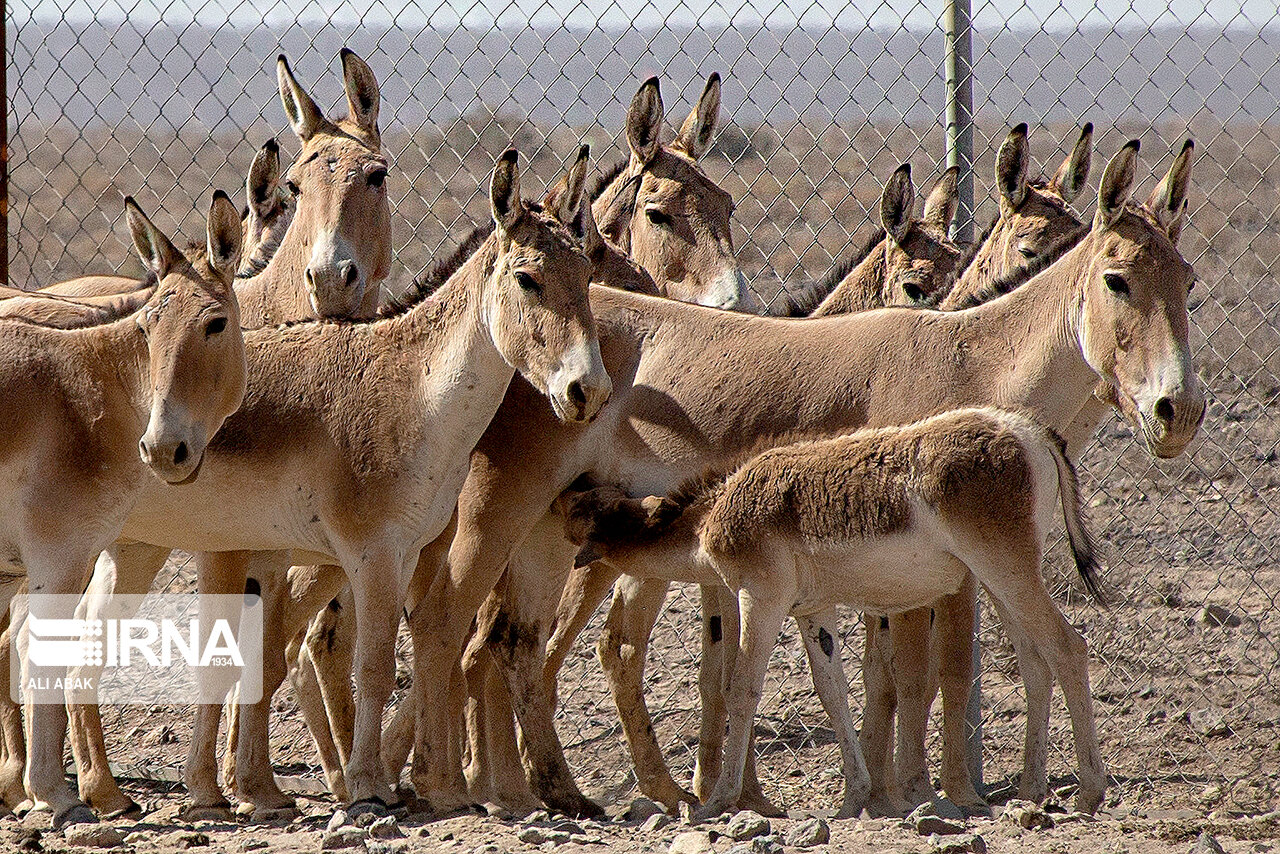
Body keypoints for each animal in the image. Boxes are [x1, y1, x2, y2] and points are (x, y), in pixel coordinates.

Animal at [555, 404, 1105, 819]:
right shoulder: (812, 610)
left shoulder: (761, 598)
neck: (712, 516)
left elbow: (741, 690)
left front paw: (719, 801)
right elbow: (833, 693)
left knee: (1069, 649)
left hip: (1005, 566)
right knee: (1036, 663)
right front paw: (854, 798)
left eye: (583, 505)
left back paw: (1089, 792)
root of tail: (1027, 430)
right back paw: (1032, 791)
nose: (563, 489)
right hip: (997, 578)